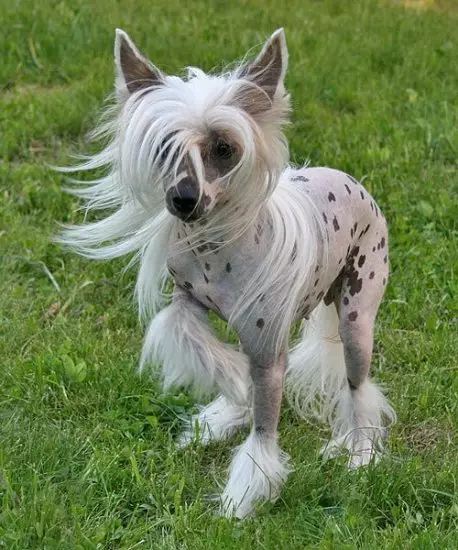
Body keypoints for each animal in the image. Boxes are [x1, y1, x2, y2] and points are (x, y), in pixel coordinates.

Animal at [59, 29, 396, 520]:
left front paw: (244, 493)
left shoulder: (269, 352)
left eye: (223, 149)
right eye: (163, 149)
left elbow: (264, 431)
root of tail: (348, 178)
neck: (215, 251)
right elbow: (193, 339)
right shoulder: (188, 301)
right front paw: (233, 390)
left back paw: (360, 450)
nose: (182, 199)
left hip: (357, 316)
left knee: (359, 386)